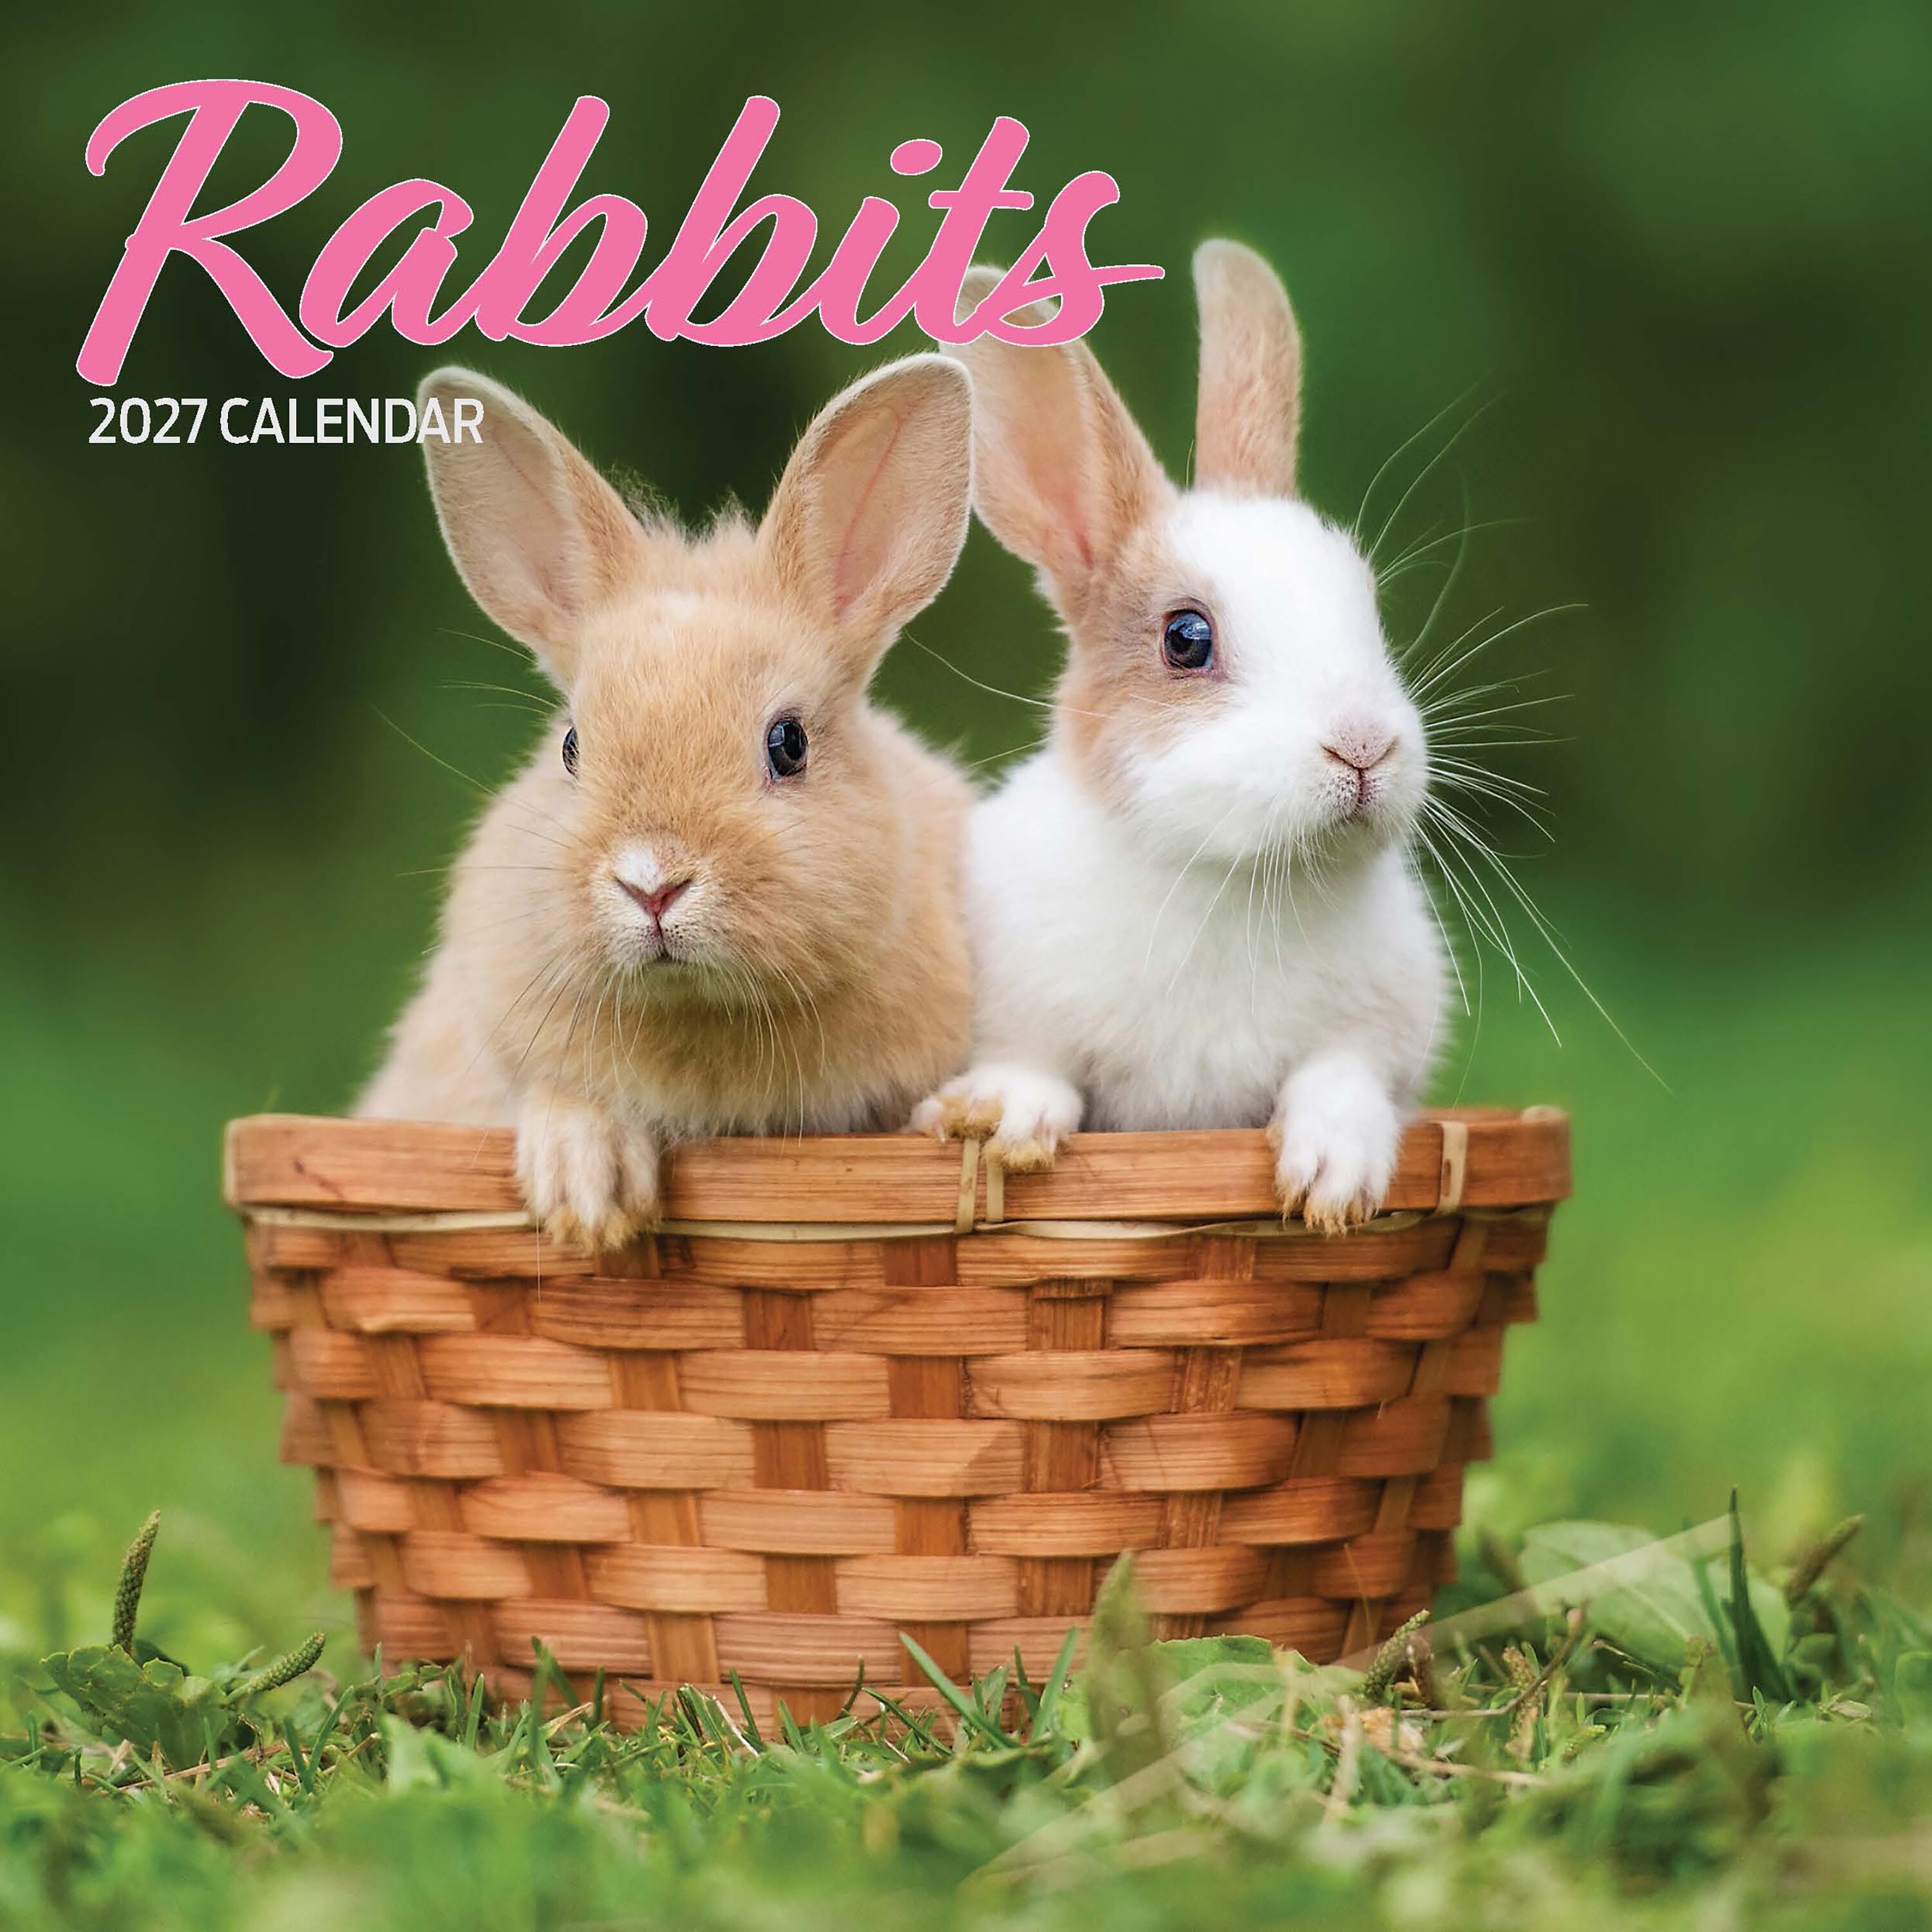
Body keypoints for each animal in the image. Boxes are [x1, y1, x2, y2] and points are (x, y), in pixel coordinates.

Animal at [912, 240, 1446, 1232]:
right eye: (1186, 638)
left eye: (1370, 606)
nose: (1362, 747)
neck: (1233, 878)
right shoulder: (1017, 1009)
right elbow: (1037, 1068)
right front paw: (998, 1119)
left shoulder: (1379, 1035)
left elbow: (1341, 1079)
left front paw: (1333, 1183)